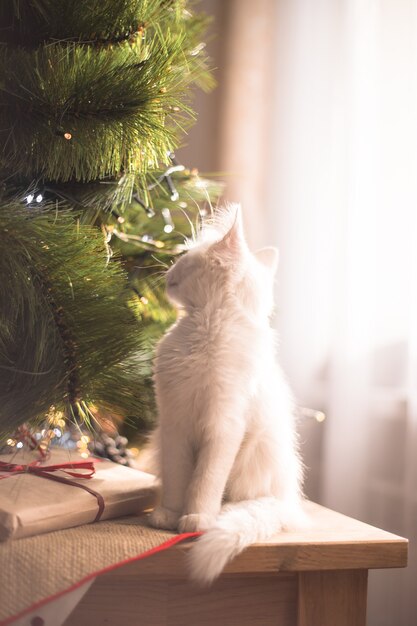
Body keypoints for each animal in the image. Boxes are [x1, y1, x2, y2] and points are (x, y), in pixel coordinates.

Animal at [145, 204, 304, 580]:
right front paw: (168, 515)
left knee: (237, 498)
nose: (167, 270)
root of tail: (288, 499)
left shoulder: (222, 427)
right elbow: (177, 478)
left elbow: (204, 482)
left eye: (185, 257)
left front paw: (196, 519)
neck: (204, 329)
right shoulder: (174, 423)